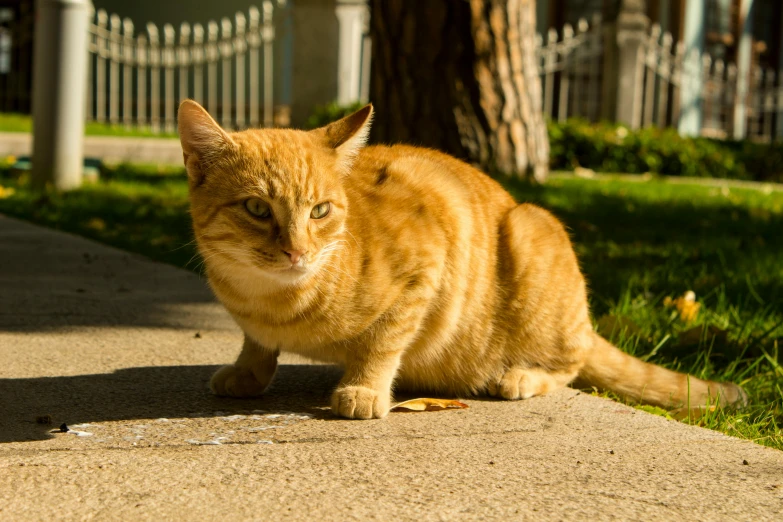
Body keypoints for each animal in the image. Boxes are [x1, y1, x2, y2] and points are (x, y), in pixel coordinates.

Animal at [178, 100, 748, 418]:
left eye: (320, 210)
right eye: (257, 208)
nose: (297, 251)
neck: (273, 301)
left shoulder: (425, 271)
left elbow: (382, 344)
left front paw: (363, 388)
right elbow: (256, 346)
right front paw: (248, 372)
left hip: (532, 232)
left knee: (569, 364)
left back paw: (520, 378)